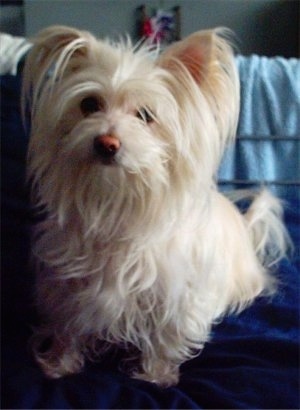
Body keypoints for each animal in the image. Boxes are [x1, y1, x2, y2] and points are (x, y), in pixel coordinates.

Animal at [22, 26, 290, 388]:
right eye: (89, 104)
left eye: (146, 115)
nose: (106, 143)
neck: (117, 203)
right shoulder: (67, 288)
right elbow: (69, 327)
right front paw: (60, 365)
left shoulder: (177, 293)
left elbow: (167, 335)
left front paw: (156, 376)